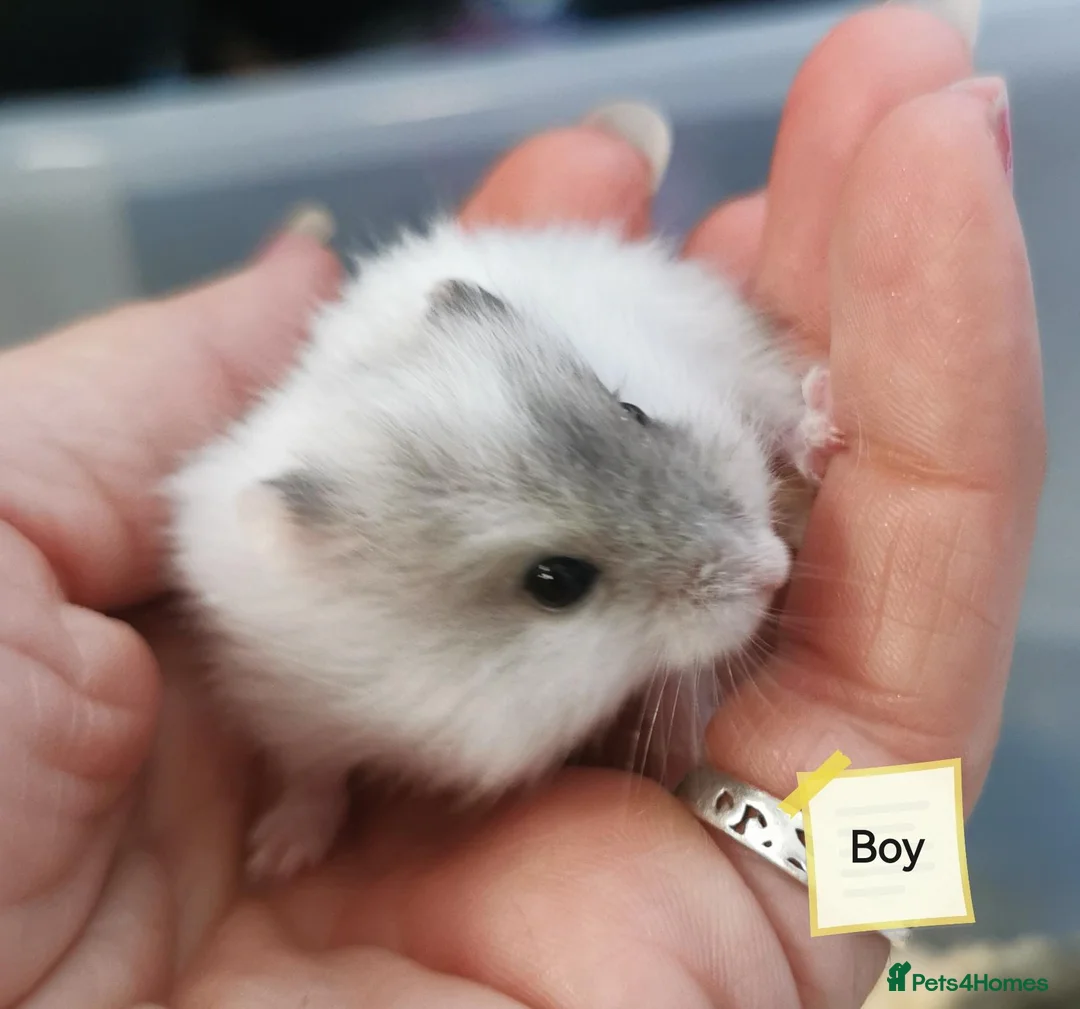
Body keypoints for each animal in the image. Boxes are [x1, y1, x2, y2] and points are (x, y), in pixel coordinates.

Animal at [166, 219, 841, 879]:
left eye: (633, 410)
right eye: (555, 582)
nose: (775, 569)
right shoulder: (293, 709)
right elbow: (312, 777)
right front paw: (275, 858)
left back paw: (826, 428)